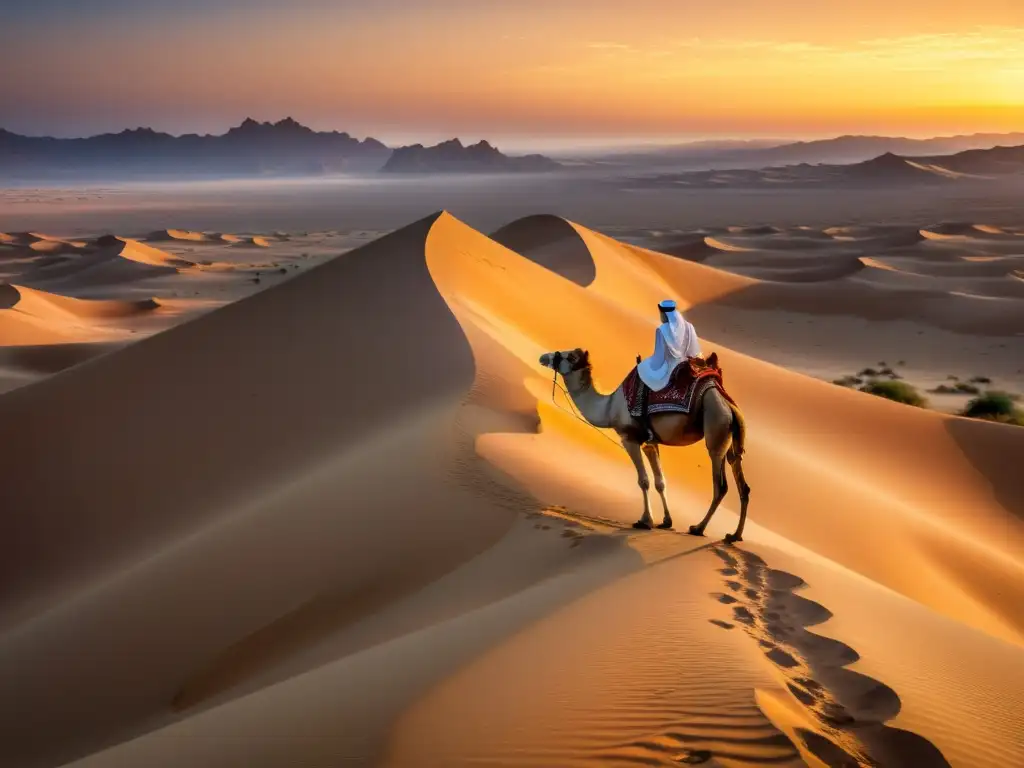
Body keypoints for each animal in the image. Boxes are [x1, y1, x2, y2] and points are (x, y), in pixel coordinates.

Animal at [540, 350, 749, 548]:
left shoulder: (629, 439)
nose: (544, 357)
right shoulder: (651, 443)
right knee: (742, 481)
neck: (609, 407)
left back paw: (698, 528)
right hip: (730, 438)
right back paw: (734, 535)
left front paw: (645, 520)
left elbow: (644, 480)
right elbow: (660, 481)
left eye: (569, 356)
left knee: (720, 485)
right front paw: (666, 521)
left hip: (716, 427)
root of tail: (729, 405)